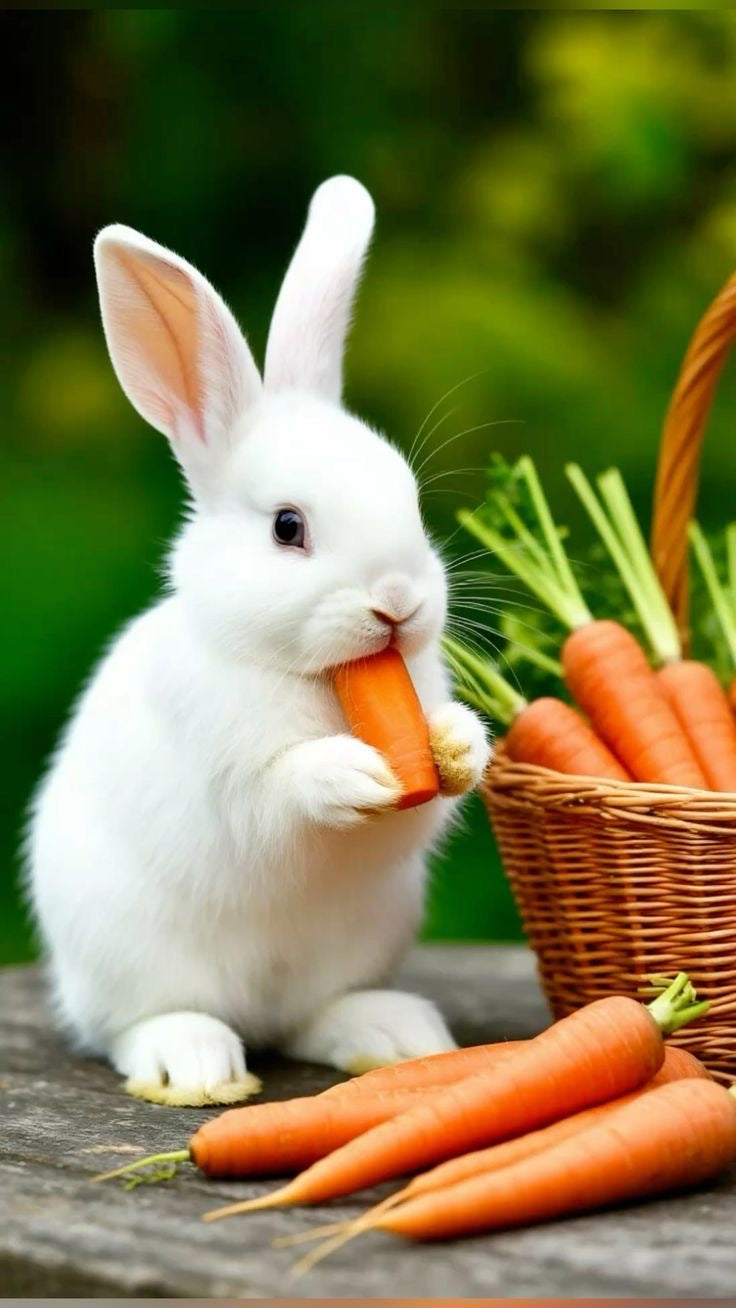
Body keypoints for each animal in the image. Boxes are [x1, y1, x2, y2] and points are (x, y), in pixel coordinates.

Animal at [27, 176, 492, 1106]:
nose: (399, 603)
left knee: (314, 1019)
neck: (317, 676)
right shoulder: (226, 771)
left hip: (358, 943)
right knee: (137, 1026)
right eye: (288, 527)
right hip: (127, 956)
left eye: (411, 499)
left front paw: (459, 746)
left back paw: (394, 1037)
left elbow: (435, 787)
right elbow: (278, 792)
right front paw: (352, 773)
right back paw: (196, 1065)